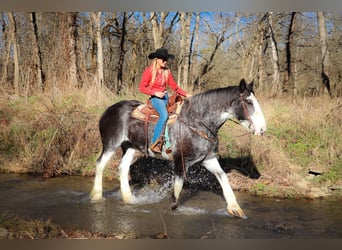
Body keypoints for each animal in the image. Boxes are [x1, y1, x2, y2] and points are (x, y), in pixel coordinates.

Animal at [89, 78, 266, 219]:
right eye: (249, 102)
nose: (263, 129)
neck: (198, 122)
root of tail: (109, 110)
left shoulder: (208, 159)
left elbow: (223, 178)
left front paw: (235, 209)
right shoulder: (180, 161)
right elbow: (177, 188)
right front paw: (172, 209)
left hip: (130, 146)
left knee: (123, 167)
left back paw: (128, 199)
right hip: (111, 144)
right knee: (100, 164)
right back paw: (96, 196)